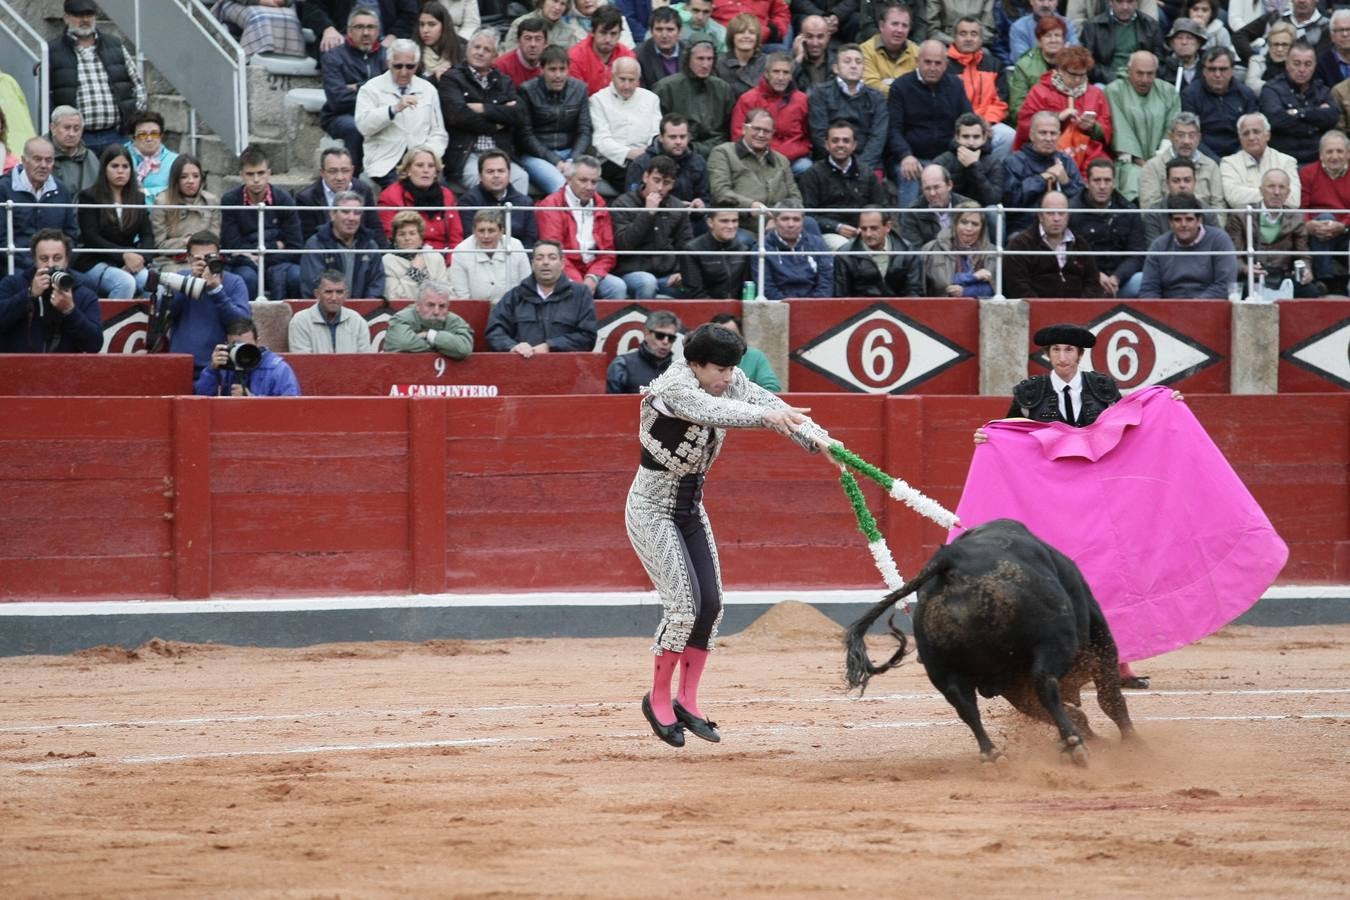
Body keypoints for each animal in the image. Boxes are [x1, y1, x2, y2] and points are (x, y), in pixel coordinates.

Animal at [847, 518, 1134, 766]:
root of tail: (950, 560)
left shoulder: (1015, 685)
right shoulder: (1098, 635)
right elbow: (1110, 698)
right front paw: (1132, 744)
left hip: (944, 670)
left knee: (966, 707)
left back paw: (993, 754)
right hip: (1053, 643)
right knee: (1046, 684)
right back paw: (1074, 745)